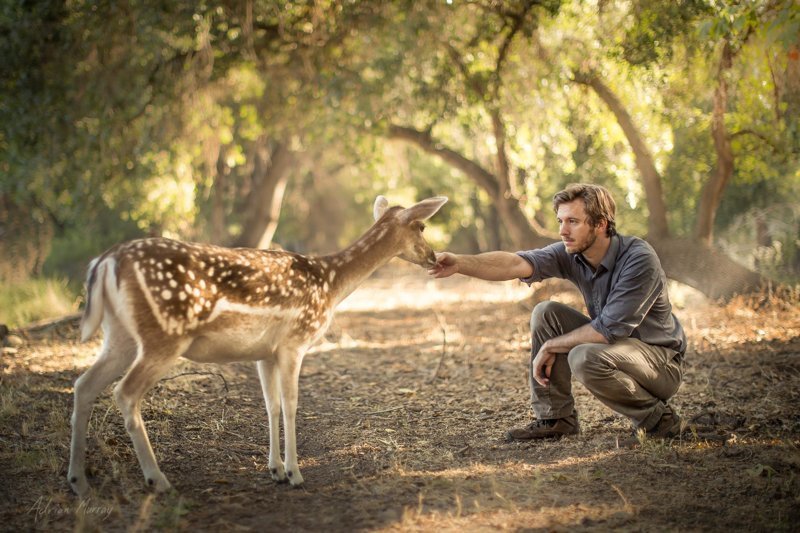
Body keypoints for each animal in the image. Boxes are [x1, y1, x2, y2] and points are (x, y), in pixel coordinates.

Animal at [67, 194, 450, 494]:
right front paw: (295, 473)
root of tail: (105, 262)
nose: (433, 257)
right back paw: (157, 480)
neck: (330, 284)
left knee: (84, 385)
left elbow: (271, 405)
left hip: (119, 334)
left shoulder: (264, 353)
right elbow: (292, 405)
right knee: (124, 392)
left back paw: (78, 481)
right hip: (164, 334)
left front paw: (275, 469)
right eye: (422, 227)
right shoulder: (295, 341)